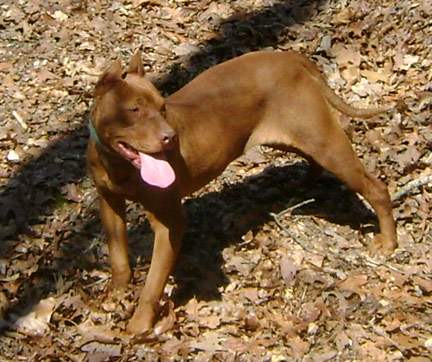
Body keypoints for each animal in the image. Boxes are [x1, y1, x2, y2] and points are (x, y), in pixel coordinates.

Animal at [88, 50, 398, 334]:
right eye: (134, 110)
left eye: (163, 108)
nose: (170, 138)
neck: (120, 165)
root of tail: (290, 57)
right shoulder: (109, 203)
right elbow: (118, 255)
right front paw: (117, 293)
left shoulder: (169, 222)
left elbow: (153, 282)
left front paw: (139, 325)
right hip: (292, 139)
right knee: (312, 163)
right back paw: (297, 188)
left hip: (325, 144)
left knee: (376, 188)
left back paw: (388, 241)